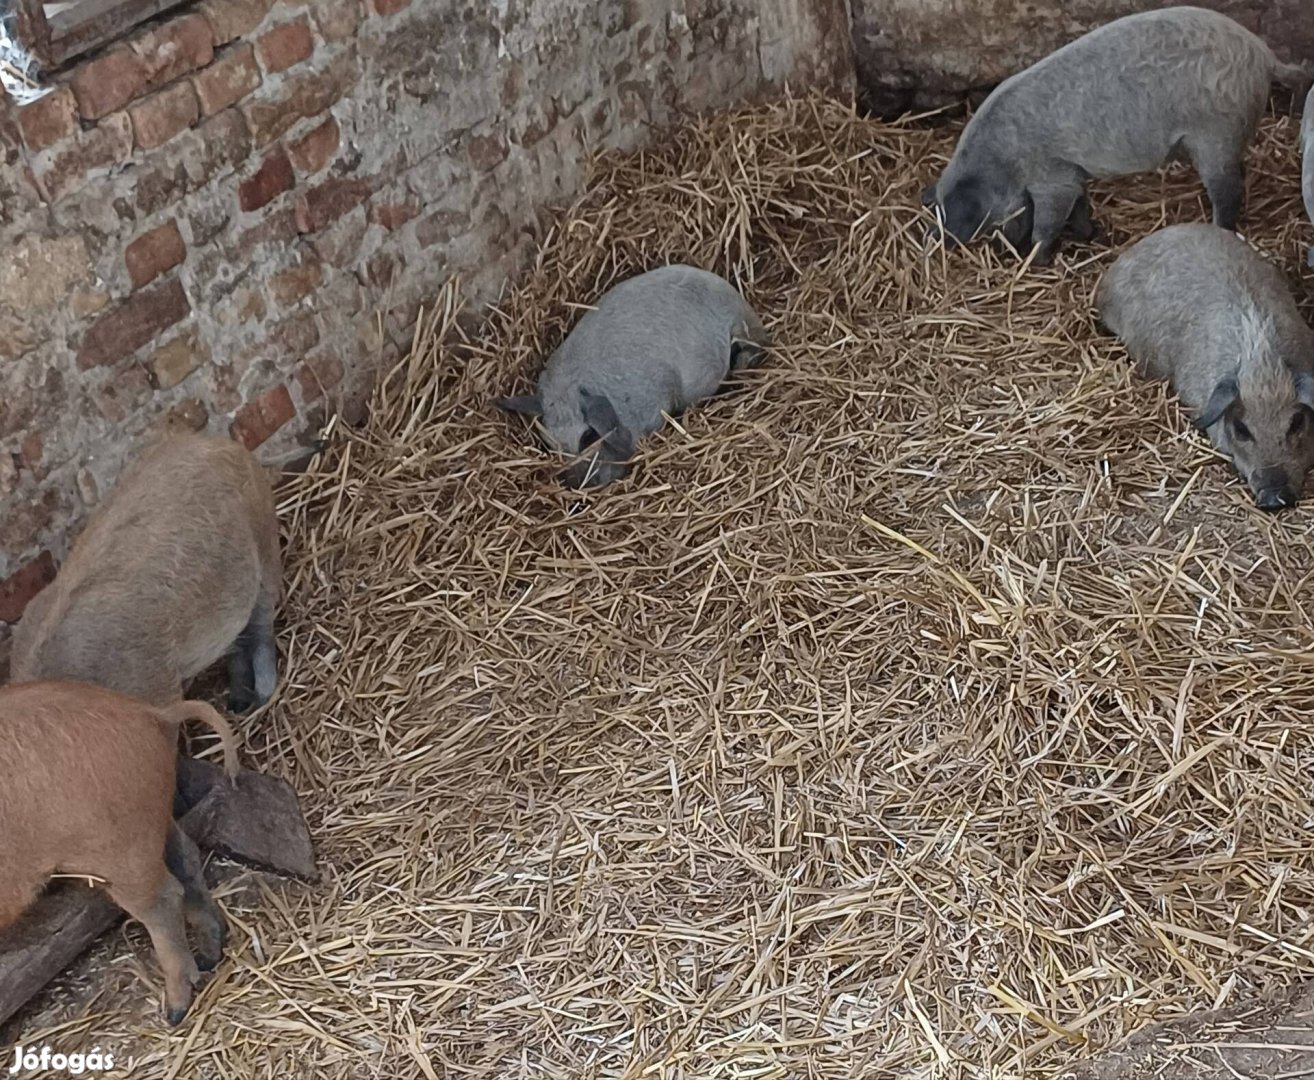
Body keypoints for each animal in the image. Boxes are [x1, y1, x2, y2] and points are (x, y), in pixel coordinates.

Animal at [0, 683, 239, 1030]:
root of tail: (154, 714)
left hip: (121, 852)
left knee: (165, 899)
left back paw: (175, 1013)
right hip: (154, 824)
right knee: (188, 858)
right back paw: (210, 954)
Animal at [10, 430, 282, 720]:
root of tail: (218, 443)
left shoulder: (159, 688)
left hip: (265, 539)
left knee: (262, 623)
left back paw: (263, 697)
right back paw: (237, 704)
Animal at [925, 6, 1314, 266]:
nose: (935, 238)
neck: (1004, 161)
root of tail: (1263, 55)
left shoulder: (1051, 176)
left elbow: (1049, 221)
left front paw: (1035, 260)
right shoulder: (1070, 170)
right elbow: (1079, 203)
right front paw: (1090, 234)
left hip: (1216, 134)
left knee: (1227, 194)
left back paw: (1216, 226)